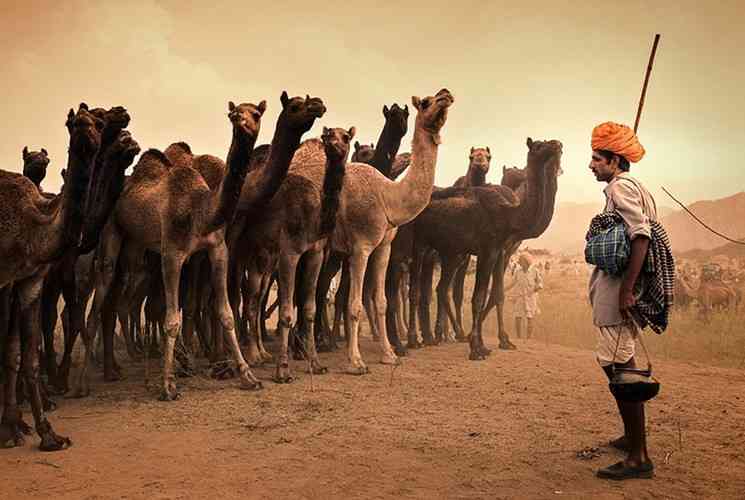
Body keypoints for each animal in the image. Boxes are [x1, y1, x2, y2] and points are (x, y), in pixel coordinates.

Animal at [0, 103, 105, 452]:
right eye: (72, 122)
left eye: (100, 123)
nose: (85, 129)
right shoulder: (4, 280)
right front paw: (9, 430)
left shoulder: (30, 280)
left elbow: (24, 354)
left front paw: (46, 433)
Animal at [406, 138, 560, 360]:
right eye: (539, 145)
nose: (557, 144)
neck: (508, 214)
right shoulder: (487, 249)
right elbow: (478, 297)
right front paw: (476, 349)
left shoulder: (498, 251)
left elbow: (496, 293)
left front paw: (491, 344)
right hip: (421, 243)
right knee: (415, 289)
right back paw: (414, 340)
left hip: (451, 251)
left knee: (441, 288)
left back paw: (440, 335)